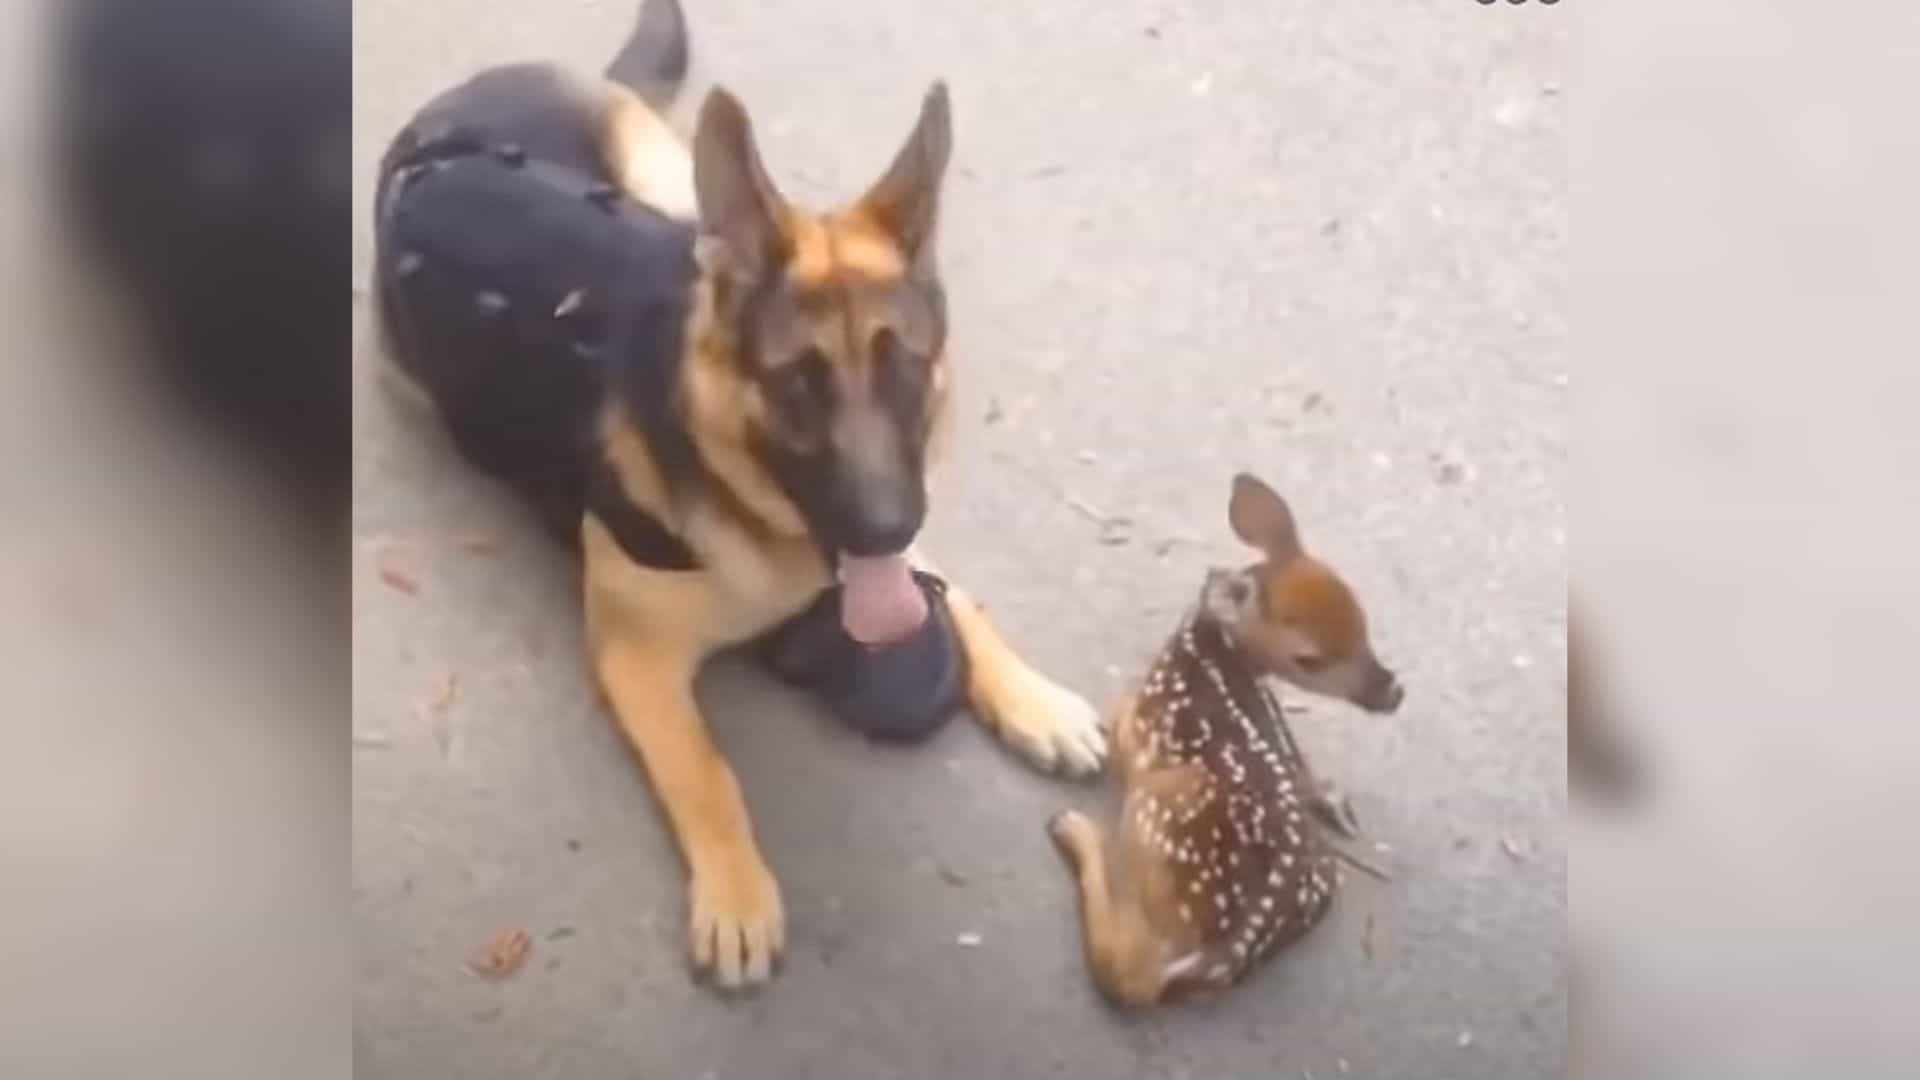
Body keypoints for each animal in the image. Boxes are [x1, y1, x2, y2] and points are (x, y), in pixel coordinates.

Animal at [372, 0, 1105, 991]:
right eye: (799, 385)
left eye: (904, 368)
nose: (887, 523)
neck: (762, 525)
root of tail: (468, 99)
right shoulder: (636, 661)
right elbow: (707, 773)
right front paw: (737, 893)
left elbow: (963, 600)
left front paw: (1035, 699)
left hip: (671, 191)